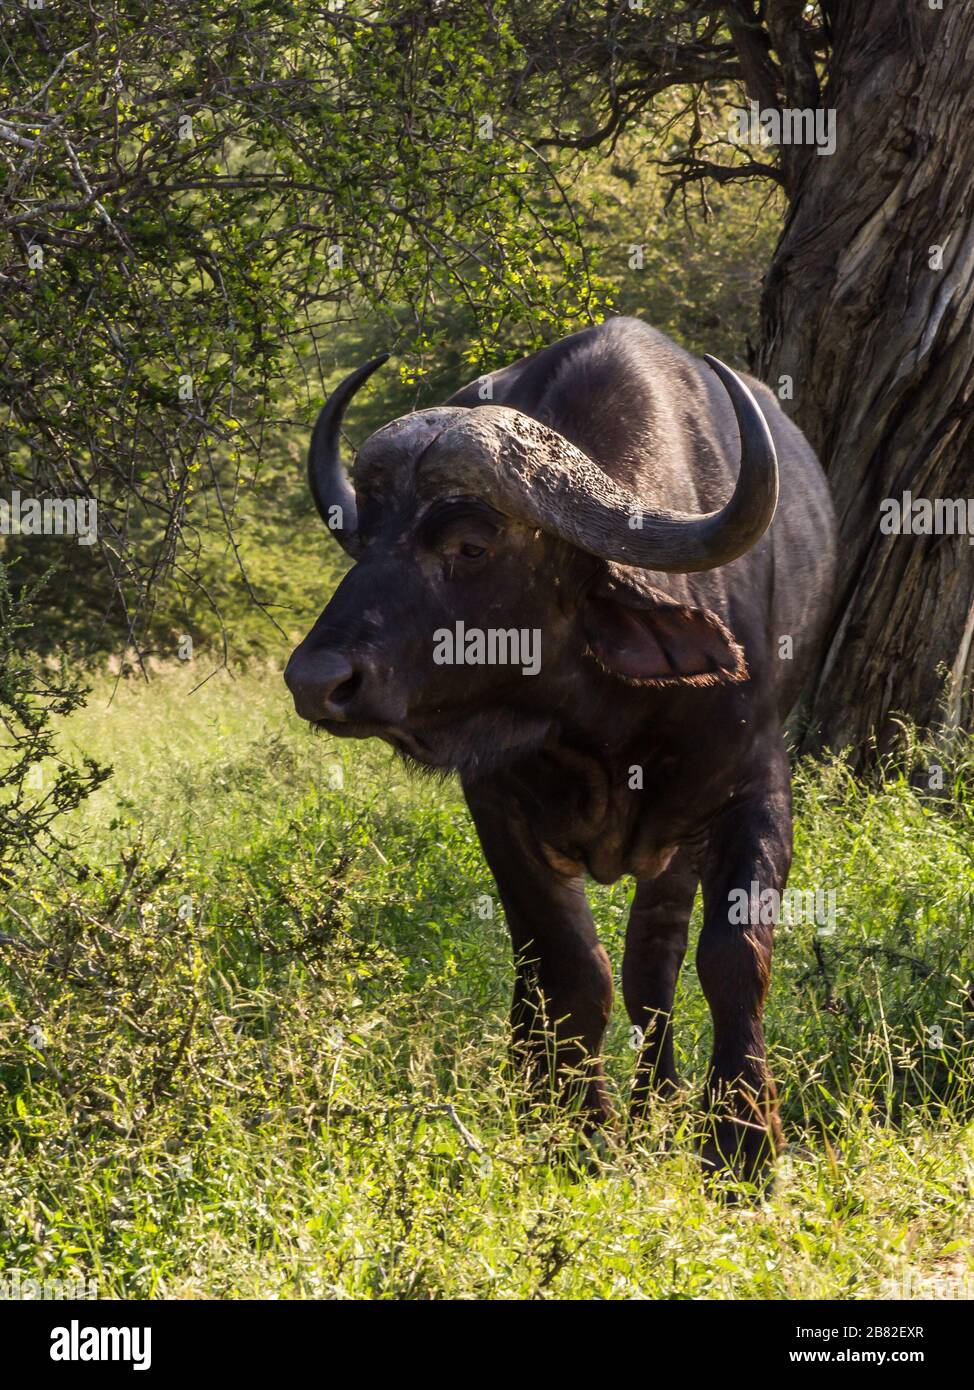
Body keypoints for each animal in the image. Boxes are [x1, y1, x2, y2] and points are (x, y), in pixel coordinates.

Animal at [283, 315, 833, 1184]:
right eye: (363, 540)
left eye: (470, 545)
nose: (316, 680)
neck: (606, 720)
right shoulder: (499, 809)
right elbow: (570, 967)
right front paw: (577, 1129)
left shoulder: (755, 790)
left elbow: (732, 957)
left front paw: (741, 1143)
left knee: (654, 965)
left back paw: (659, 1102)